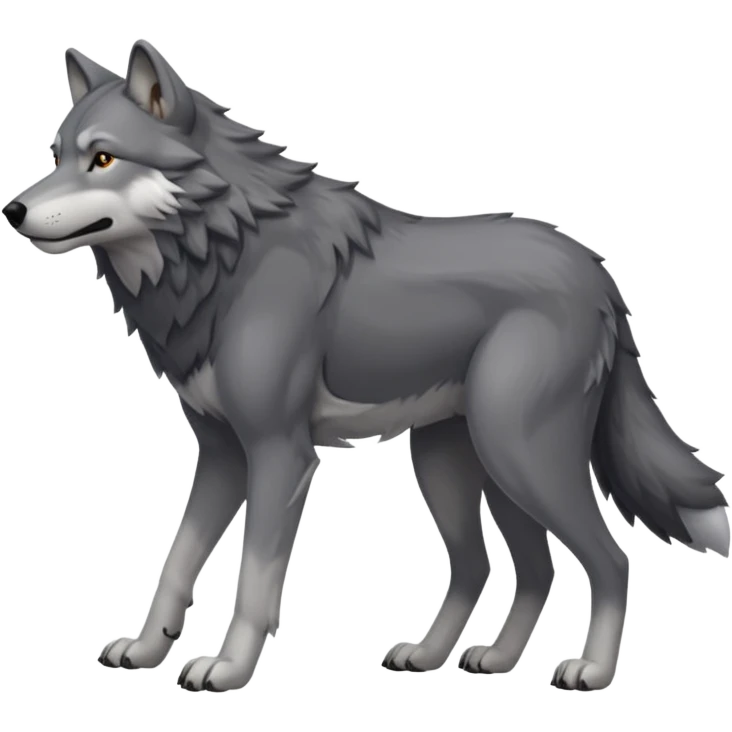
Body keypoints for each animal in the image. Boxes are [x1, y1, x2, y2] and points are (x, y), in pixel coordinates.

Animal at [3, 41, 729, 694]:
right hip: (465, 467)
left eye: (103, 158)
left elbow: (253, 579)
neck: (222, 253)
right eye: (56, 156)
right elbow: (177, 563)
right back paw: (465, 659)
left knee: (609, 560)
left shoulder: (280, 454)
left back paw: (592, 672)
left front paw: (229, 669)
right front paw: (147, 650)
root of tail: (601, 277)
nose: (13, 209)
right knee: (508, 568)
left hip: (519, 459)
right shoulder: (221, 455)